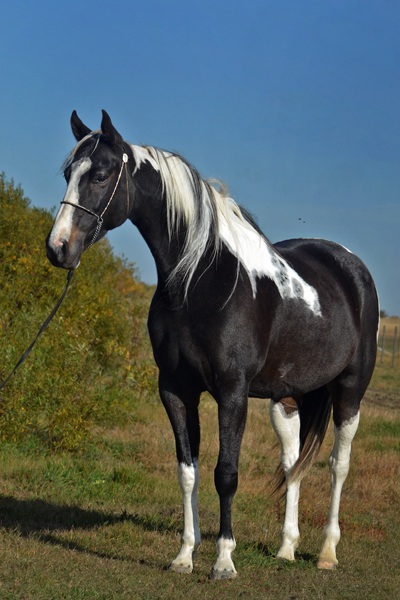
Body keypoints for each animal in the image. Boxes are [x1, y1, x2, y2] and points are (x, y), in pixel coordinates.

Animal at [45, 110, 380, 580]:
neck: (199, 279)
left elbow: (226, 473)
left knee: (338, 464)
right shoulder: (175, 390)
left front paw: (224, 560)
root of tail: (351, 266)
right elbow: (189, 471)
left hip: (350, 391)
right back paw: (286, 549)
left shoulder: (232, 393)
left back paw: (327, 552)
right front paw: (185, 554)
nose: (58, 249)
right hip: (286, 399)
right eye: (67, 174)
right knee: (292, 461)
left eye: (101, 174)